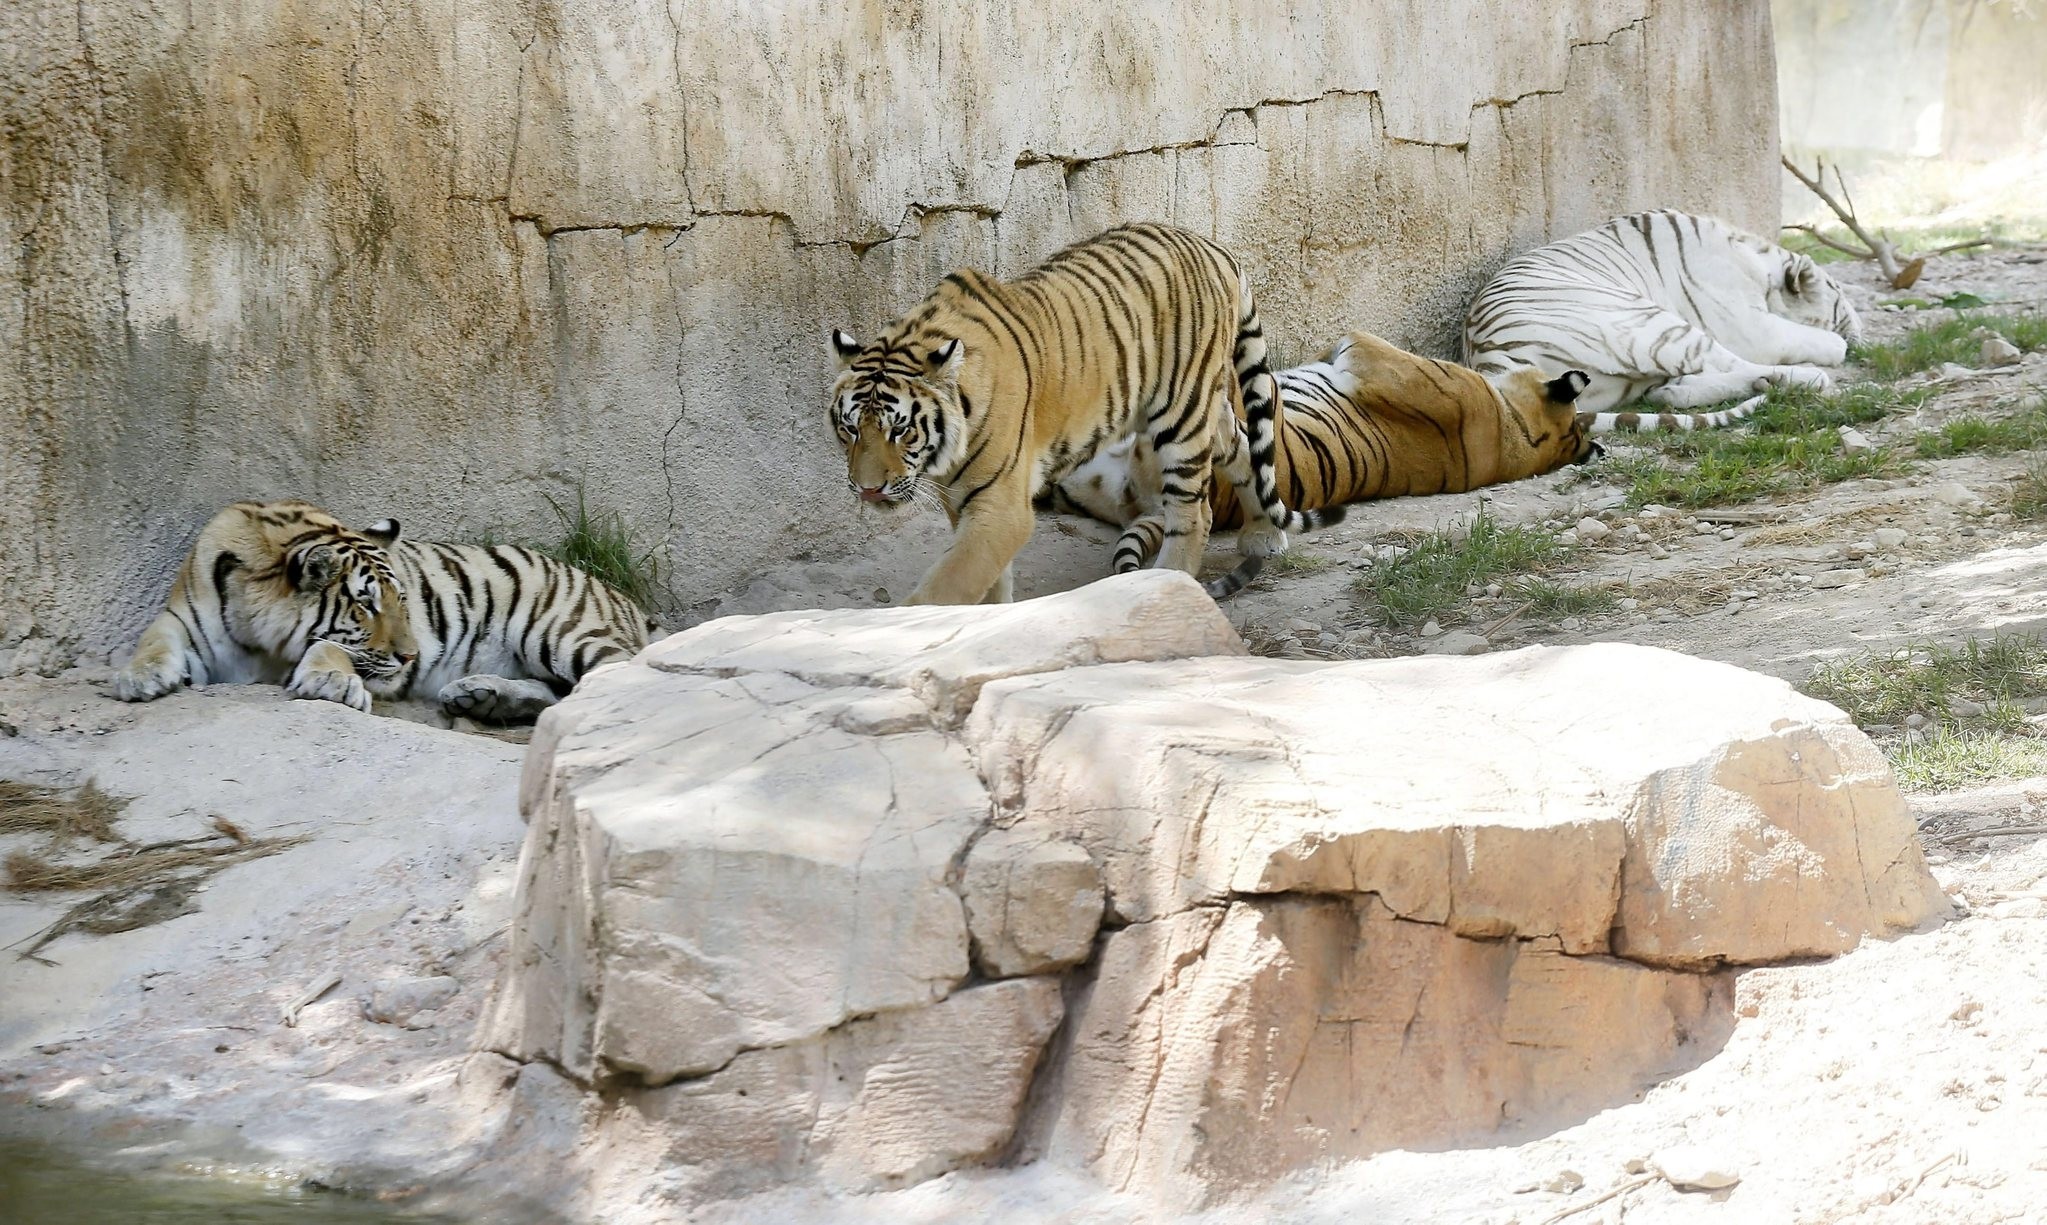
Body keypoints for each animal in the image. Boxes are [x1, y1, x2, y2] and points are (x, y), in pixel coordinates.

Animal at [108, 500, 654, 723]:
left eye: (402, 600)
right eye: (366, 604)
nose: (412, 657)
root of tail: (625, 600)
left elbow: (331, 649)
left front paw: (330, 682)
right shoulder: (183, 617)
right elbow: (154, 639)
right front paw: (140, 678)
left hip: (562, 631)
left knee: (610, 680)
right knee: (557, 692)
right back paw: (479, 697)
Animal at [827, 221, 1341, 604]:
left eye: (900, 431)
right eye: (849, 430)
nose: (867, 491)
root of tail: (1213, 246)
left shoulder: (1001, 506)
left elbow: (947, 587)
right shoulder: (965, 505)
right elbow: (988, 581)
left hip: (1181, 414)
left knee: (1195, 513)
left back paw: (1166, 581)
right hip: (1195, 409)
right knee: (1241, 447)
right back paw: (1263, 535)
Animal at [1462, 209, 1863, 415]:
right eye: (1841, 296)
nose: (1862, 329)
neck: (1758, 262)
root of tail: (1490, 362)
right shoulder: (1747, 326)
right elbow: (1813, 338)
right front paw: (1839, 345)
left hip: (1613, 385)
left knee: (1669, 390)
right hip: (1649, 323)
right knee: (1726, 362)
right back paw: (1805, 378)